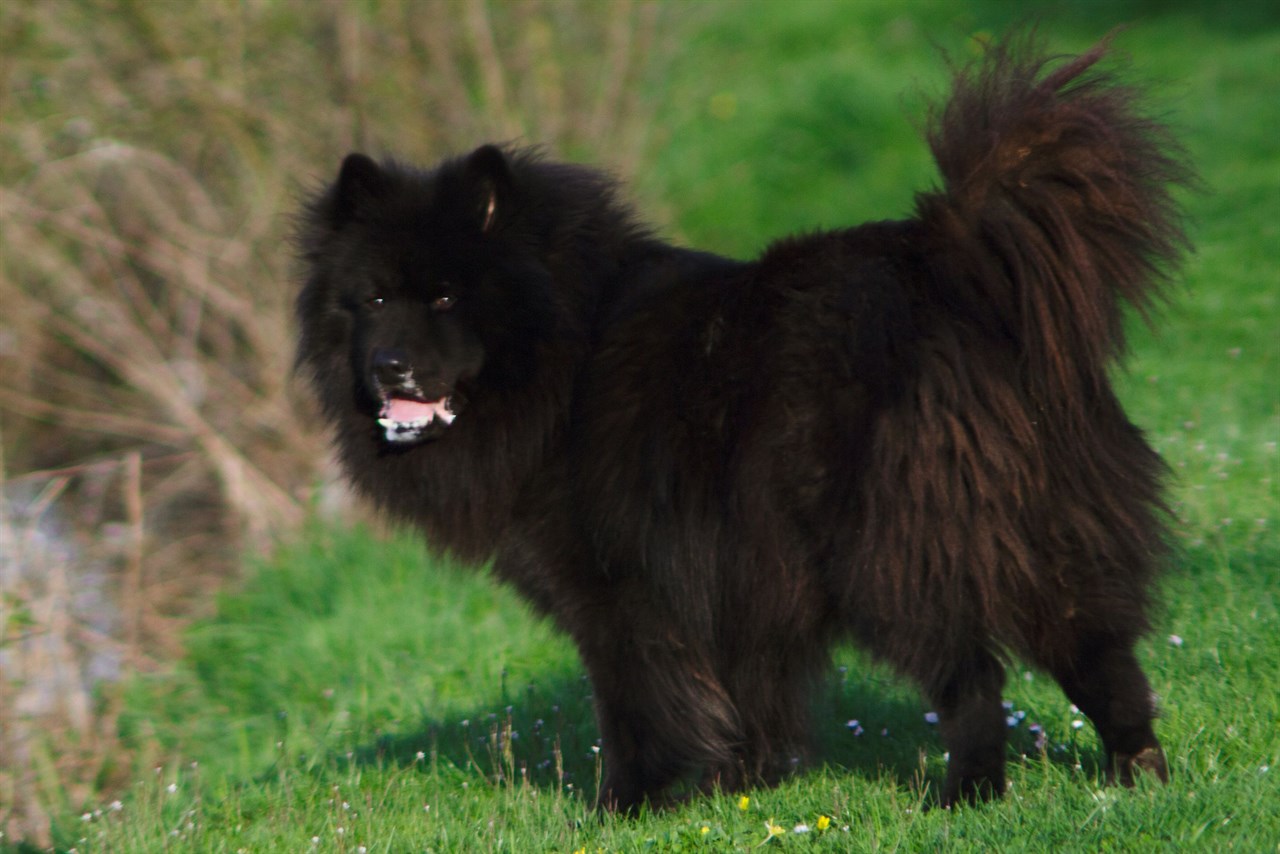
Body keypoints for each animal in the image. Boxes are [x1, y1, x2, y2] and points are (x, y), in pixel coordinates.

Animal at [296, 35, 1187, 809]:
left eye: (447, 298)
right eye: (373, 298)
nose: (388, 367)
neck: (565, 356)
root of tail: (952, 268)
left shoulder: (619, 589)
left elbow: (637, 709)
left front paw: (624, 808)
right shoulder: (735, 569)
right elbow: (744, 694)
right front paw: (741, 787)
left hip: (894, 551)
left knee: (971, 678)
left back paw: (967, 795)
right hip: (1045, 534)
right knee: (1099, 654)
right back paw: (1136, 772)